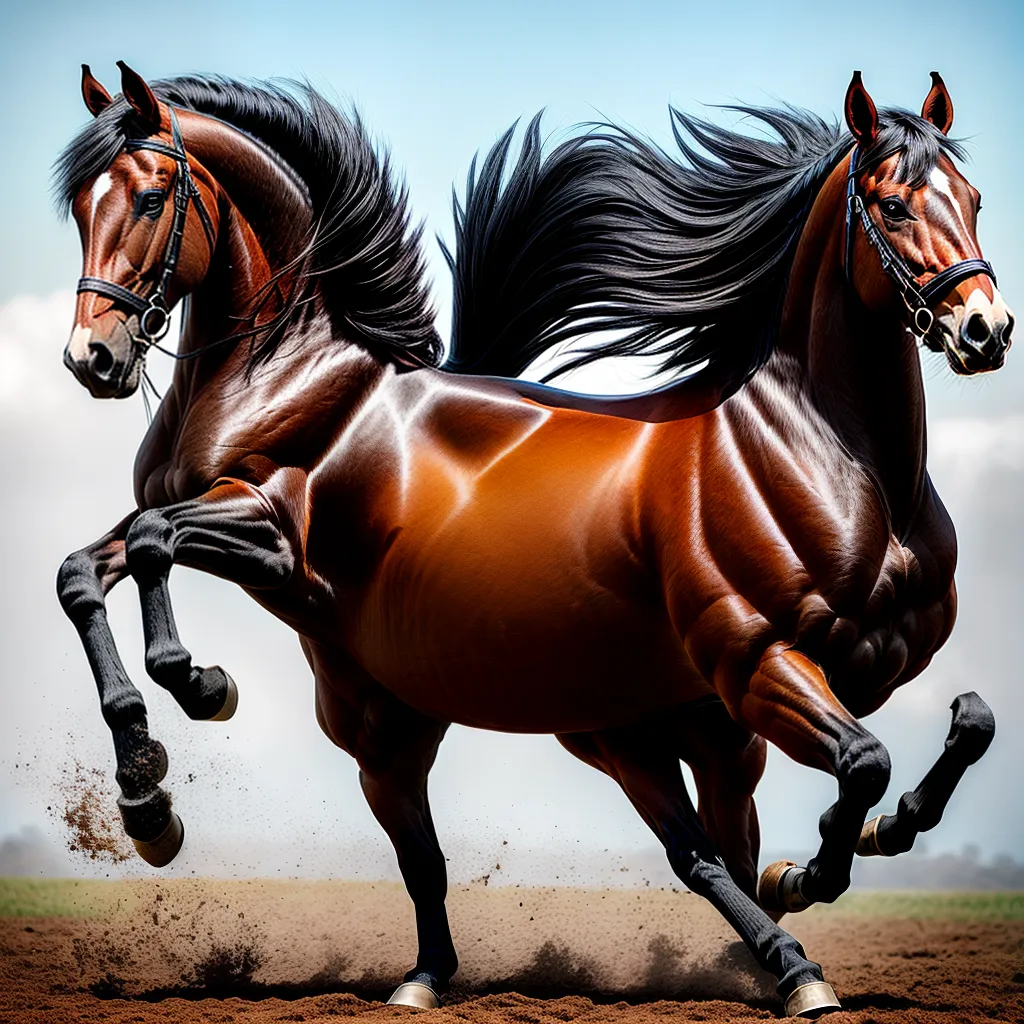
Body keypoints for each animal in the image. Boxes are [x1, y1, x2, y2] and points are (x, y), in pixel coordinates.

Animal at [54, 61, 1010, 1018]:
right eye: (892, 205)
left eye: (971, 197)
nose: (985, 330)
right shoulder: (759, 664)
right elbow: (104, 560)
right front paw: (161, 772)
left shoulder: (845, 670)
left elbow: (956, 727)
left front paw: (184, 715)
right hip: (465, 733)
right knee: (575, 855)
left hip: (650, 734)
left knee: (709, 851)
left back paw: (773, 954)